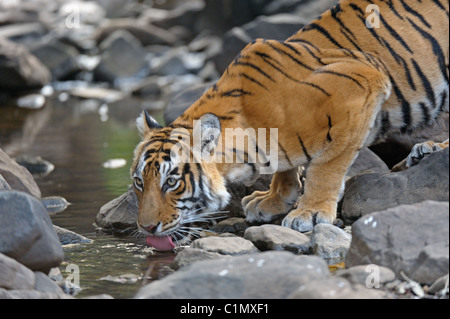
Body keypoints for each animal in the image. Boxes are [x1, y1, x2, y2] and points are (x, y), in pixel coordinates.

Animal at [130, 0, 446, 250]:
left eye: (171, 182)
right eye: (138, 182)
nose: (146, 228)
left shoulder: (364, 81)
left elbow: (327, 165)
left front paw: (311, 211)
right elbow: (285, 167)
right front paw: (273, 198)